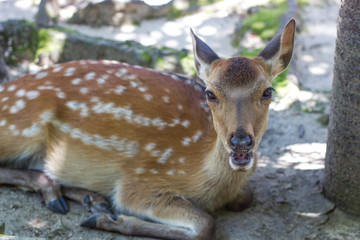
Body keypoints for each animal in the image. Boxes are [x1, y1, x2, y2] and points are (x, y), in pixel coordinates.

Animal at [0, 19, 296, 239]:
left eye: (268, 91)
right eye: (210, 94)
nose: (241, 141)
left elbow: (245, 197)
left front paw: (102, 212)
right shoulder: (141, 180)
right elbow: (205, 224)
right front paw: (108, 218)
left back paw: (90, 198)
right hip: (22, 126)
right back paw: (62, 195)